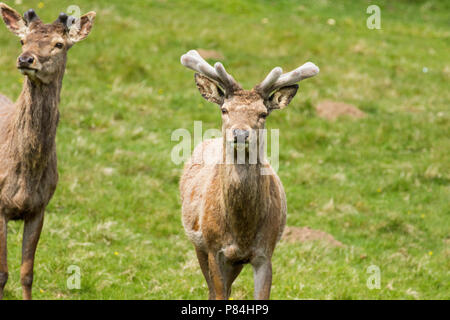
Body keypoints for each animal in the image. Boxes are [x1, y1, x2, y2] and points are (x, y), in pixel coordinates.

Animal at [0, 3, 95, 300]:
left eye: (59, 44)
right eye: (22, 40)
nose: (25, 59)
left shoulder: (40, 207)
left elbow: (27, 274)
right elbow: (2, 274)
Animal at [179, 50, 320, 300]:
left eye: (263, 113)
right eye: (224, 109)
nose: (241, 134)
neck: (242, 230)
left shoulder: (265, 252)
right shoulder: (215, 249)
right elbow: (219, 293)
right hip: (199, 244)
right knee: (212, 290)